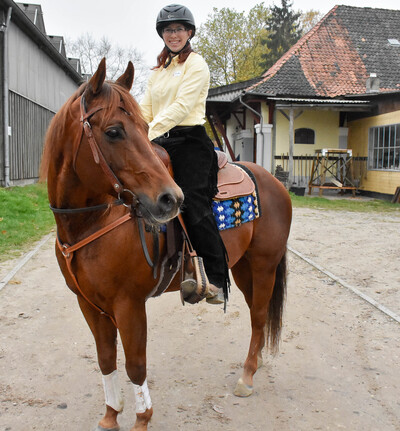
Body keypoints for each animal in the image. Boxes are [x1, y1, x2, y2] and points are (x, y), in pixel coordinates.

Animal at [39, 58, 290, 431]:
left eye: (145, 127)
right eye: (113, 131)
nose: (171, 199)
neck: (91, 221)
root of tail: (274, 181)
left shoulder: (128, 305)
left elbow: (135, 365)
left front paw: (142, 419)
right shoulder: (89, 304)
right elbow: (106, 360)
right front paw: (111, 414)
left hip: (264, 266)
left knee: (259, 317)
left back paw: (247, 376)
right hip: (243, 268)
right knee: (255, 318)